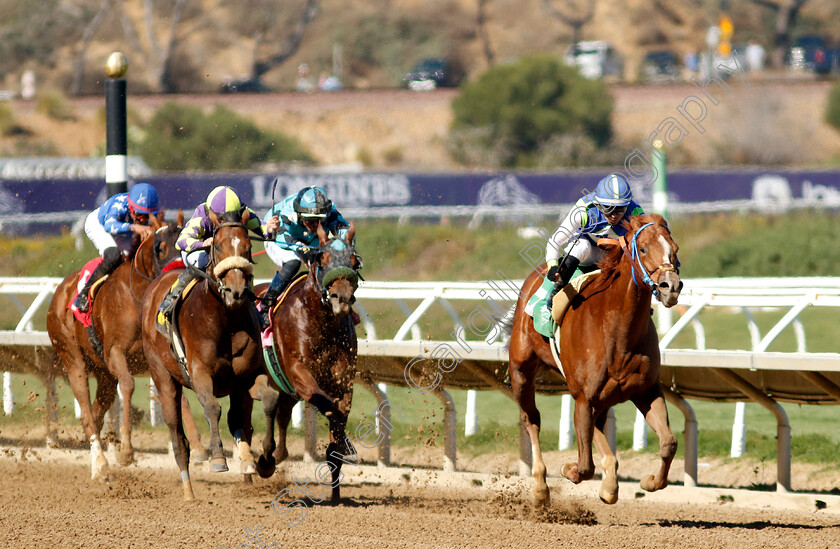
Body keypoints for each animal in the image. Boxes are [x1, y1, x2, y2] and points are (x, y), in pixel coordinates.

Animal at [45, 212, 207, 478]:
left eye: (182, 247)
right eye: (160, 248)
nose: (177, 275)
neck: (139, 298)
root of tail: (60, 293)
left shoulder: (159, 358)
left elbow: (180, 398)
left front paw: (199, 447)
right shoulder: (115, 353)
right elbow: (129, 386)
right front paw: (126, 451)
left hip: (103, 375)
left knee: (96, 413)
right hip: (71, 356)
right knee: (87, 410)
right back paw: (101, 464)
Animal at [141, 214, 264, 500]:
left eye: (247, 247)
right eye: (217, 246)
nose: (235, 290)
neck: (225, 320)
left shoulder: (243, 378)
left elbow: (240, 418)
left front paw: (247, 461)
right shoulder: (199, 372)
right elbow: (212, 408)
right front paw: (218, 458)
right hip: (162, 376)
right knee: (178, 436)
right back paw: (188, 491)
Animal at [256, 220, 360, 504]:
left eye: (354, 261)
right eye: (322, 258)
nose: (341, 299)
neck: (320, 321)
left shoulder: (344, 380)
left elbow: (338, 421)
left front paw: (336, 494)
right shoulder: (299, 373)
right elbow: (326, 404)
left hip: (285, 388)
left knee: (281, 413)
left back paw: (277, 454)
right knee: (266, 407)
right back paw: (264, 459)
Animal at [506, 213, 684, 506]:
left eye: (675, 249)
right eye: (643, 248)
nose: (671, 287)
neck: (617, 330)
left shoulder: (646, 390)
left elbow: (669, 442)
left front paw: (650, 481)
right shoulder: (583, 397)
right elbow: (584, 465)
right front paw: (568, 469)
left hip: (602, 397)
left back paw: (609, 484)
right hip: (521, 370)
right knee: (531, 418)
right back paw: (541, 487)